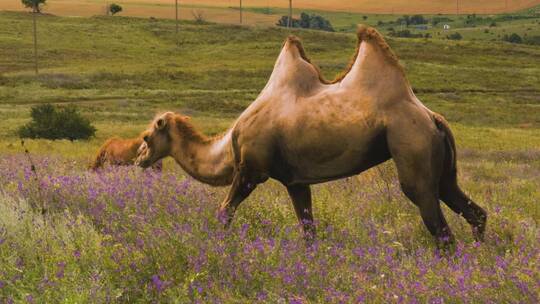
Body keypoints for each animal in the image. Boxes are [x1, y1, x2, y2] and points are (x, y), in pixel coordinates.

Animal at [135, 26, 486, 248]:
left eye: (147, 136)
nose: (139, 159)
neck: (231, 144)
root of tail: (432, 118)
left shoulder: (251, 171)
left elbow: (224, 212)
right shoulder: (296, 181)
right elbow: (308, 229)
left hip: (412, 144)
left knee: (438, 225)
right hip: (442, 165)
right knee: (473, 210)